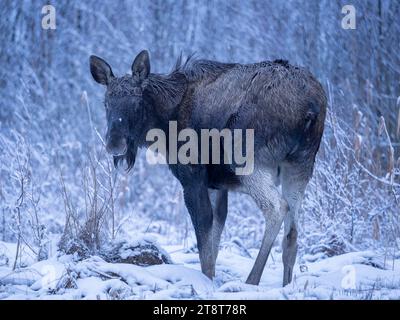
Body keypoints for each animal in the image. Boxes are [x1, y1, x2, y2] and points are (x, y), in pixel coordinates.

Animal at [89, 50, 326, 284]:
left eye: (137, 102)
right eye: (106, 103)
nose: (115, 144)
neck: (164, 121)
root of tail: (311, 107)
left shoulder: (193, 177)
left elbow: (204, 237)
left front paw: (207, 281)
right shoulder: (217, 185)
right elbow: (215, 236)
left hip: (245, 157)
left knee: (277, 208)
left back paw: (252, 279)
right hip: (300, 164)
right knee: (292, 230)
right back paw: (287, 285)